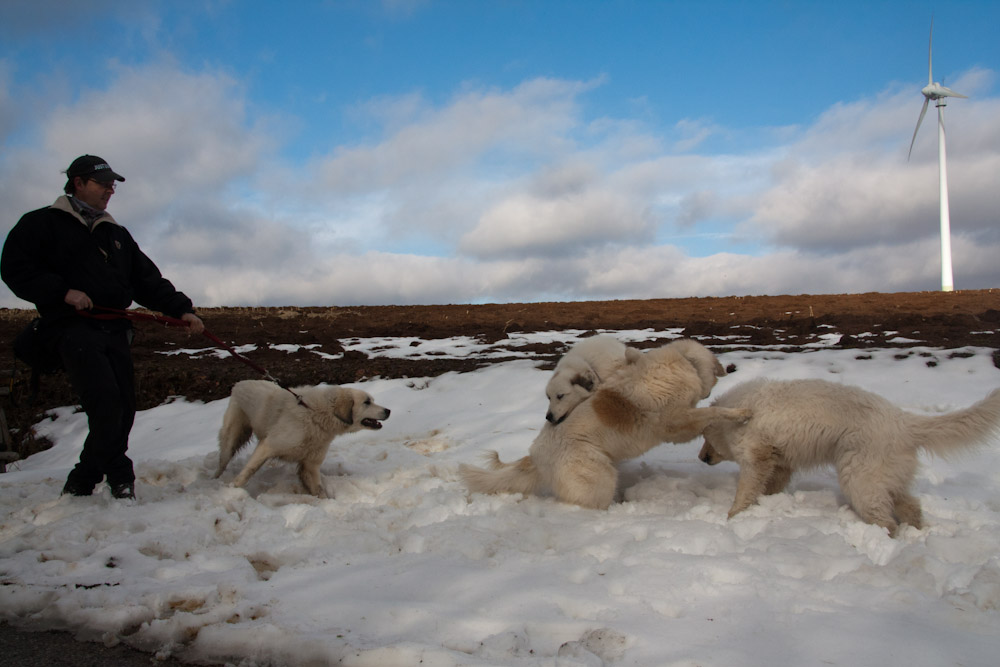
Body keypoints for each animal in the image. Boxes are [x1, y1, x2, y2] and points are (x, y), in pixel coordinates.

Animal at [215, 378, 390, 498]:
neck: (315, 414)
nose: (388, 411)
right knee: (222, 462)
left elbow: (318, 490)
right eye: (367, 402)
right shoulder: (268, 446)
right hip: (232, 438)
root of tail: (239, 383)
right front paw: (232, 490)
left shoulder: (310, 465)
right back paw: (215, 479)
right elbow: (247, 472)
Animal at [460, 342, 752, 508]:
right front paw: (740, 413)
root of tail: (534, 455)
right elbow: (711, 413)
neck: (682, 362)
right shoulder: (675, 424)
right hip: (599, 478)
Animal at [700, 380, 1000, 536]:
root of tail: (903, 421)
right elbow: (770, 485)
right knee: (910, 504)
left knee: (886, 520)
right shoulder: (780, 461)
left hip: (859, 477)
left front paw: (733, 517)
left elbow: (745, 491)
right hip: (884, 477)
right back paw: (915, 531)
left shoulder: (756, 457)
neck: (738, 413)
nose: (702, 458)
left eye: (705, 437)